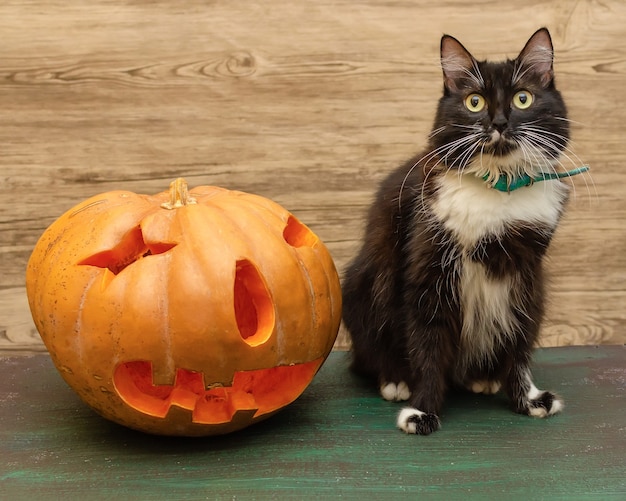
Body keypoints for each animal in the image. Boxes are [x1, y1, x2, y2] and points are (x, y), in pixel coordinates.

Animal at [342, 28, 584, 434]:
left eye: (523, 98)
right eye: (474, 102)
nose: (499, 122)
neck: (497, 187)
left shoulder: (525, 272)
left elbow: (520, 340)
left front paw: (527, 398)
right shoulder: (429, 267)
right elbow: (427, 343)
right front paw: (422, 409)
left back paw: (482, 377)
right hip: (364, 284)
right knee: (368, 355)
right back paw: (395, 380)